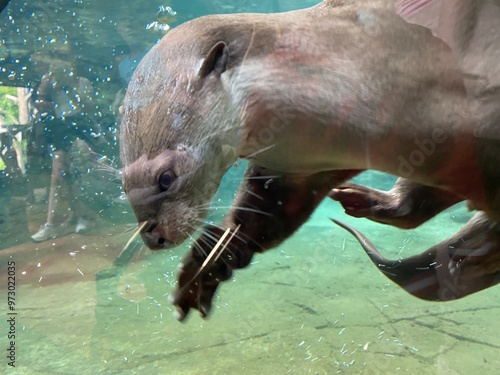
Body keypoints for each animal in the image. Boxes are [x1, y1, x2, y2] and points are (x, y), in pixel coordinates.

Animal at [119, 0, 498, 324]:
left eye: (165, 177)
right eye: (123, 183)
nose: (152, 237)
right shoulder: (298, 164)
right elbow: (266, 212)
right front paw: (207, 264)